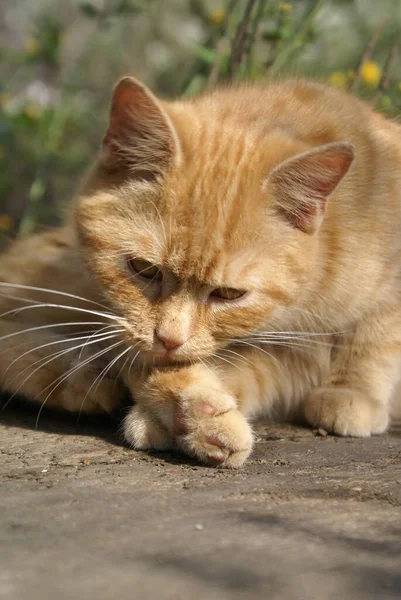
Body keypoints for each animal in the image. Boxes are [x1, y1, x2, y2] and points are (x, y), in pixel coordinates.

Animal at [0, 76, 400, 468]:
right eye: (144, 269)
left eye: (229, 294)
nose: (168, 339)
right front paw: (185, 407)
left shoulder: (303, 348)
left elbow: (373, 335)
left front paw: (353, 390)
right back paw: (80, 373)